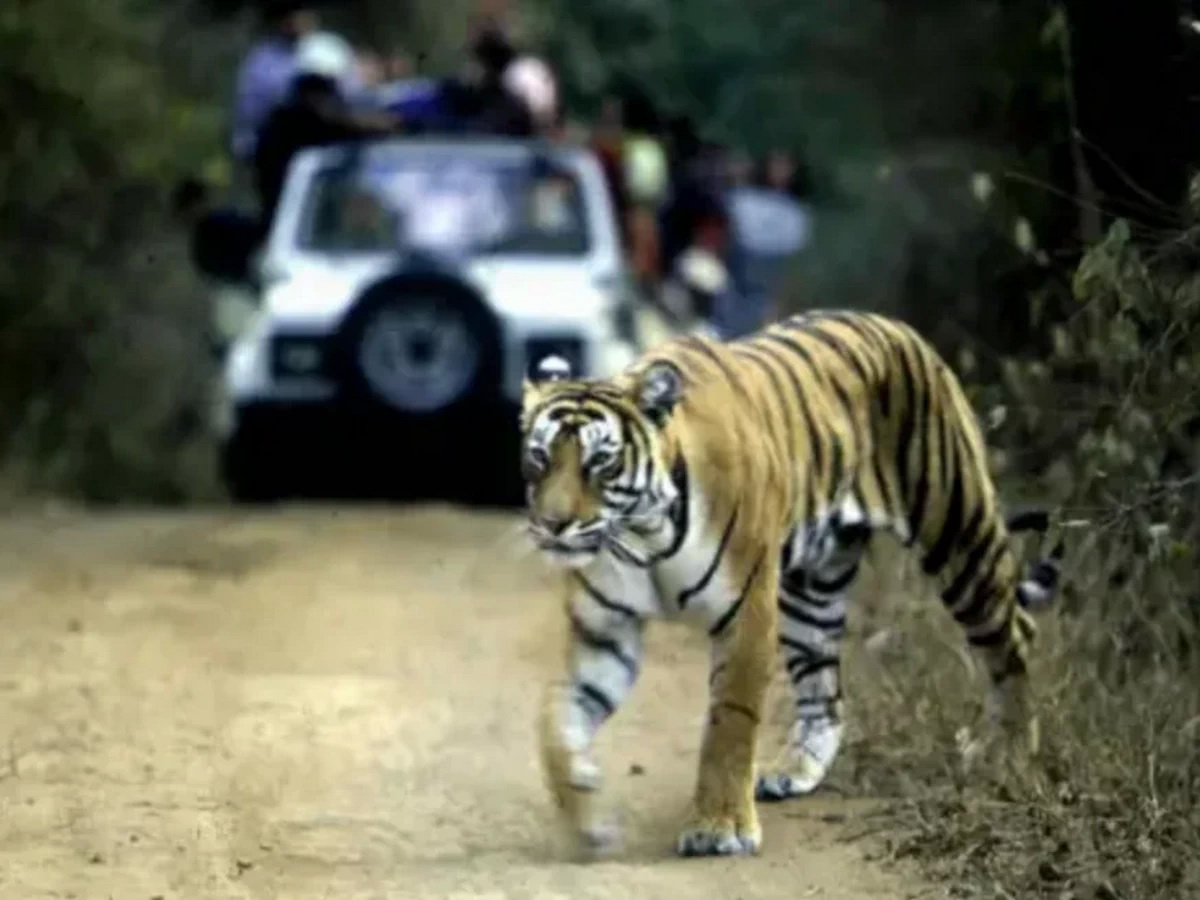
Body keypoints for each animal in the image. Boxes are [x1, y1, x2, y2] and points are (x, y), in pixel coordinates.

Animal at [519, 309, 1063, 859]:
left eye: (600, 462)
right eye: (540, 457)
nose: (553, 525)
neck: (643, 535)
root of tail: (896, 326)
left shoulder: (745, 612)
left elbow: (730, 721)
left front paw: (720, 827)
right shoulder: (605, 632)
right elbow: (556, 718)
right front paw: (587, 818)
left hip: (958, 534)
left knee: (1015, 636)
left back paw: (1012, 757)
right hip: (811, 592)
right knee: (826, 692)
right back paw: (793, 771)